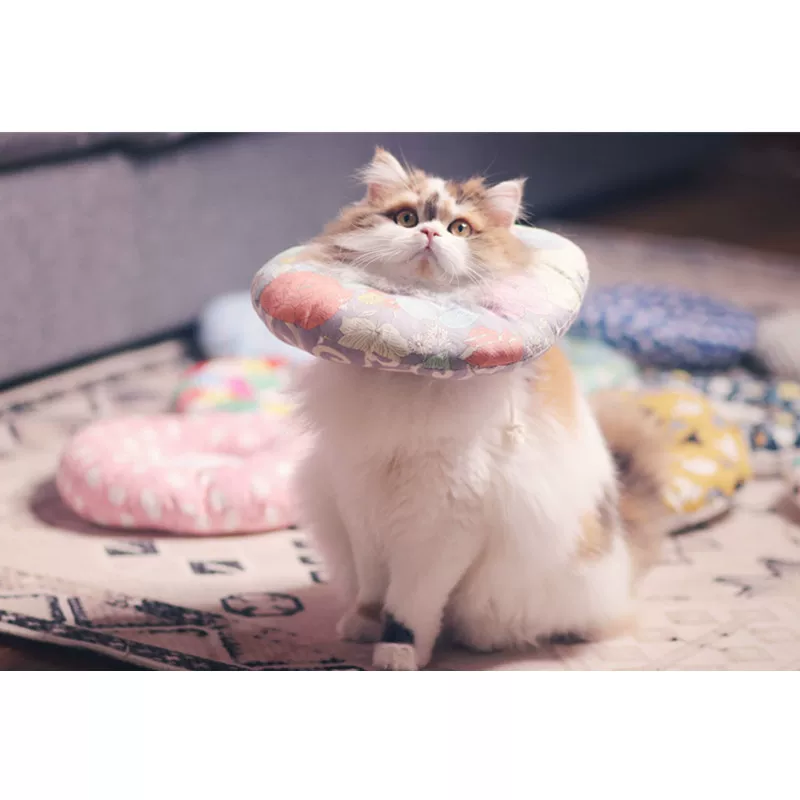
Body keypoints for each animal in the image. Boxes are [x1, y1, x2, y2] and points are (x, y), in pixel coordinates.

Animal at [293, 148, 671, 670]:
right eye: (407, 219)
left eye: (460, 229)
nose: (430, 234)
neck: (407, 377)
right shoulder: (360, 502)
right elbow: (373, 587)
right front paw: (361, 627)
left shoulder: (444, 521)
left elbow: (410, 604)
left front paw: (397, 652)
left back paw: (485, 640)